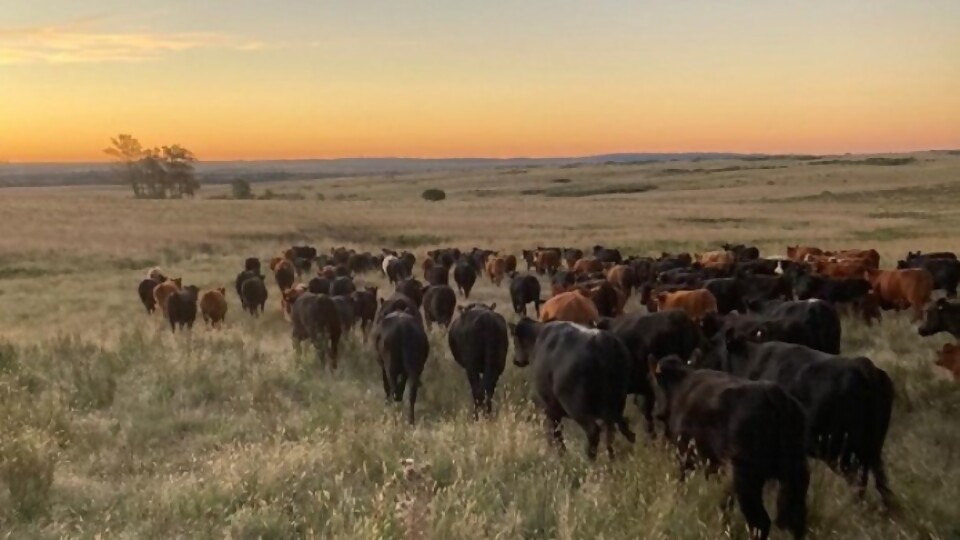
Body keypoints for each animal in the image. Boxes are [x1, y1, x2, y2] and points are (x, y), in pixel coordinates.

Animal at [510, 318, 636, 462]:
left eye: (515, 340)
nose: (515, 360)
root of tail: (602, 343)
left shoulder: (549, 406)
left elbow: (555, 431)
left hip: (578, 409)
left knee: (594, 431)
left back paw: (589, 458)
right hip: (616, 403)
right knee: (612, 430)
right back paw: (611, 457)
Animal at [656, 358, 808, 540]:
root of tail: (775, 396)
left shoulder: (686, 457)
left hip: (746, 480)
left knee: (760, 522)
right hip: (795, 476)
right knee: (796, 521)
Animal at [696, 340, 892, 508]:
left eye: (707, 353)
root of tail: (863, 366)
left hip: (844, 453)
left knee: (859, 482)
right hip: (870, 450)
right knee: (880, 481)